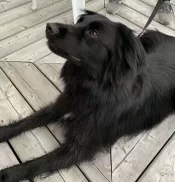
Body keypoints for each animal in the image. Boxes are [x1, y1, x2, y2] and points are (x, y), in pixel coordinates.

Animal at [0, 10, 175, 181]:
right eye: (79, 22)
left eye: (93, 33)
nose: (49, 27)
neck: (90, 88)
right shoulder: (61, 106)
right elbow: (27, 121)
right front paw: (3, 132)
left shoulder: (77, 149)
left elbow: (34, 164)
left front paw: (5, 174)